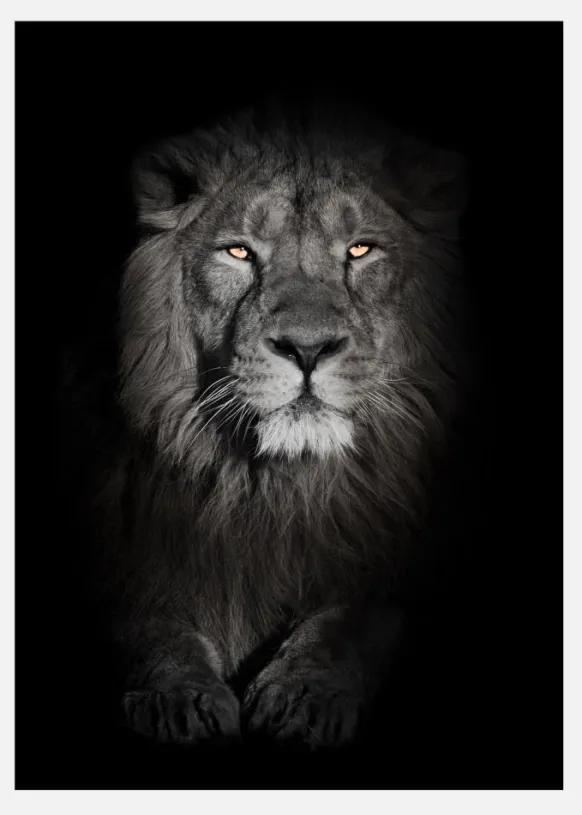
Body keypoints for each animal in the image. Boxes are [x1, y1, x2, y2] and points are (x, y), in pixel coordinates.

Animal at [82, 99, 467, 750]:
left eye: (360, 250)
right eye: (239, 252)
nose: (307, 349)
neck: (275, 486)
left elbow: (353, 619)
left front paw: (305, 695)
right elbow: (148, 622)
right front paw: (179, 698)